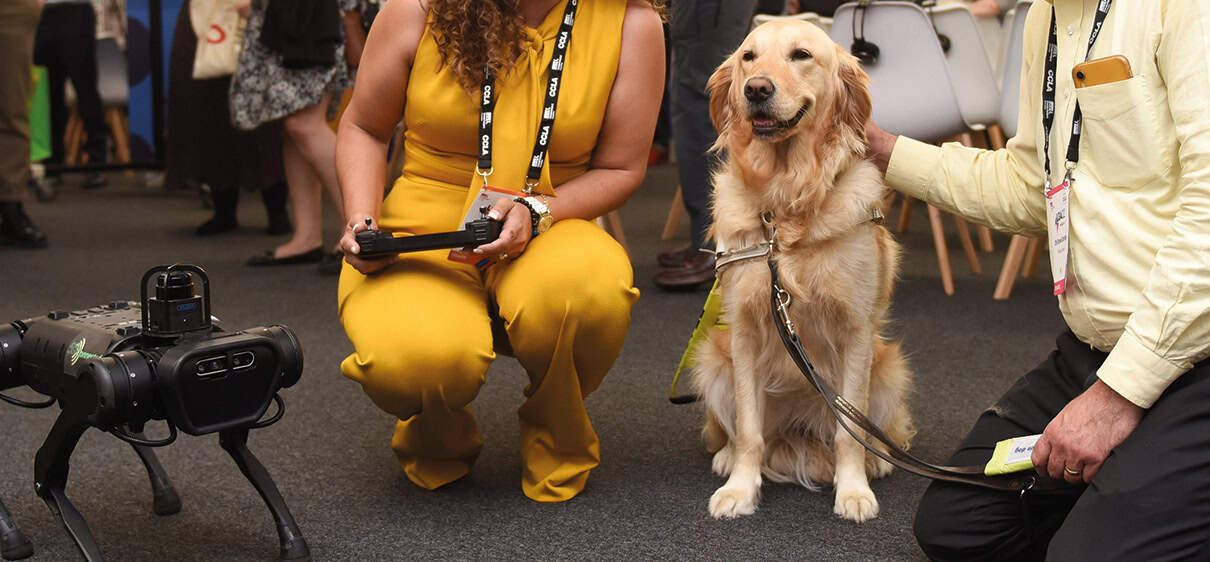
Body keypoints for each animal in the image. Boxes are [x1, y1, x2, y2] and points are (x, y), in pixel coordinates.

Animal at [0, 265, 307, 559]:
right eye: (210, 365)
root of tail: (32, 325)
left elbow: (239, 448)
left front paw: (294, 543)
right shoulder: (92, 395)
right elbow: (46, 472)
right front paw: (17, 534)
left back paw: (164, 493)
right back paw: (13, 537)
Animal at [687, 21, 909, 523]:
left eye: (801, 55)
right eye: (748, 57)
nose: (756, 89)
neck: (784, 200)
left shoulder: (856, 332)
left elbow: (849, 431)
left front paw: (854, 490)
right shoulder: (744, 331)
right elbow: (749, 430)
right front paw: (740, 488)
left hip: (888, 369)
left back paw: (875, 462)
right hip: (713, 359)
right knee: (740, 430)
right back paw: (727, 457)